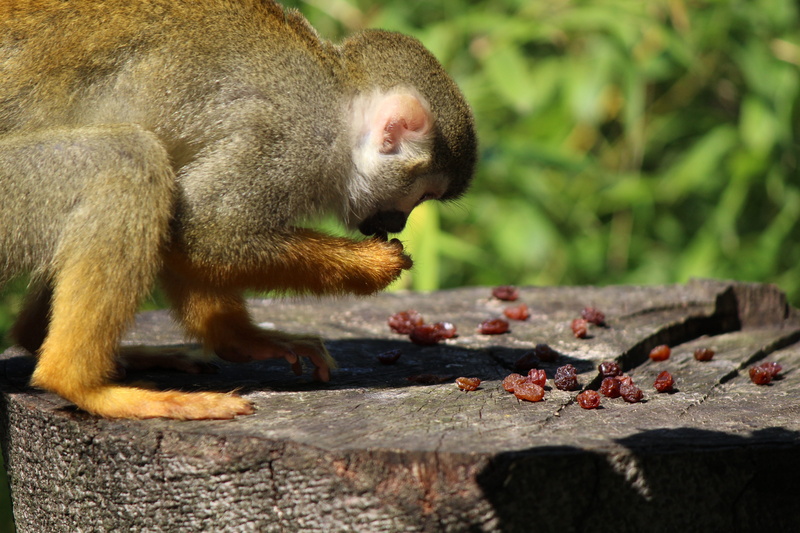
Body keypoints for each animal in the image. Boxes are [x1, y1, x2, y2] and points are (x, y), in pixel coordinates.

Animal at [0, 0, 477, 419]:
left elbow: (186, 230)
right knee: (129, 157)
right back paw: (84, 385)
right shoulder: (287, 141)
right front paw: (375, 264)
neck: (337, 104)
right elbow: (204, 231)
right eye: (420, 195)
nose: (397, 221)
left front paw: (240, 339)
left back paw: (46, 342)